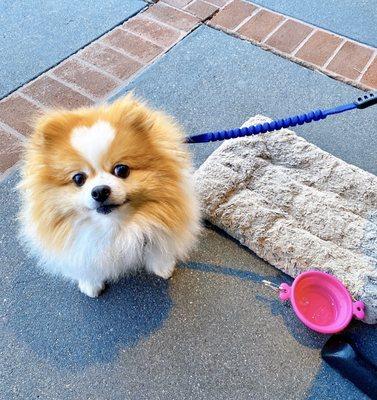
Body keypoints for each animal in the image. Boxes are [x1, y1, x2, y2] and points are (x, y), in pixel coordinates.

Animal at [18, 94, 200, 296]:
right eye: (78, 178)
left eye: (121, 169)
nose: (99, 191)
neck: (115, 227)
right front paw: (90, 284)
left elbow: (159, 248)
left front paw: (163, 267)